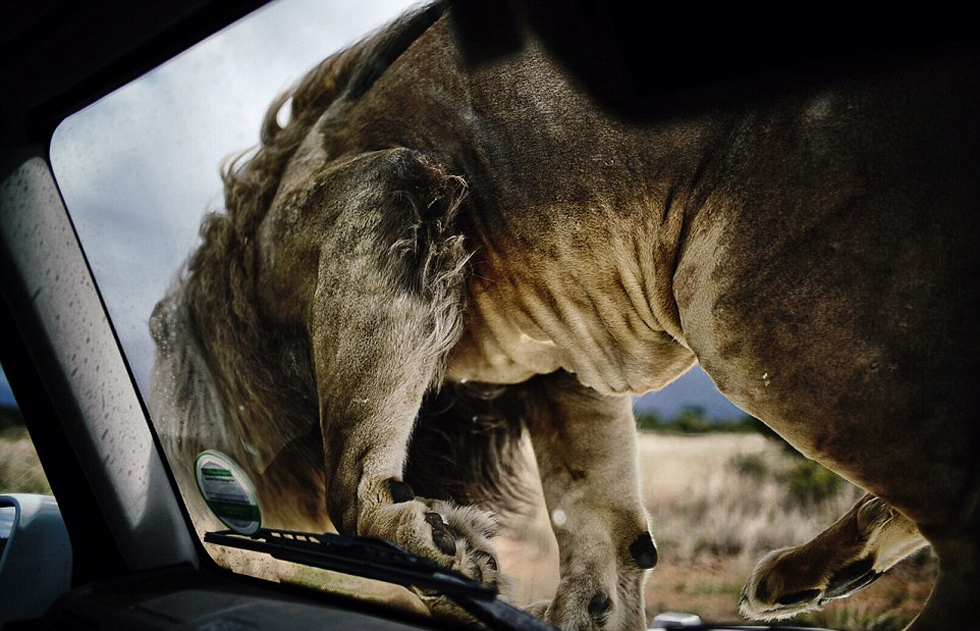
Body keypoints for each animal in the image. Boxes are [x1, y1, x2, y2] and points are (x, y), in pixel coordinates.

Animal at [147, 2, 980, 628]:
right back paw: (805, 577)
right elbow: (605, 547)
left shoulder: (377, 192)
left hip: (752, 306)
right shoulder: (561, 372)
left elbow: (354, 483)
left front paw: (442, 553)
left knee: (964, 511)